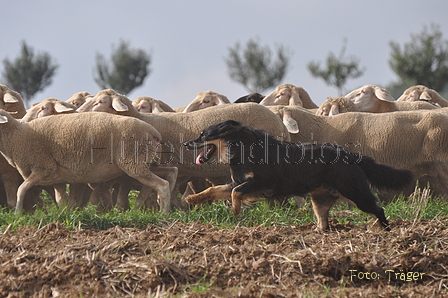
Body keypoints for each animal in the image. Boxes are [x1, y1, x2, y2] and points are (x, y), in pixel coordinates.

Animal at [0, 110, 177, 213]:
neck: (16, 135)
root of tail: (154, 133)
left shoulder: (43, 167)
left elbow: (21, 189)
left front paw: (17, 214)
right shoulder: (54, 176)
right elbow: (61, 199)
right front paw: (64, 214)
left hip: (133, 162)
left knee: (162, 184)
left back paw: (163, 213)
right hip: (144, 162)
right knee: (171, 172)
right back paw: (166, 205)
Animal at [182, 120, 412, 229]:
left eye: (203, 135)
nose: (185, 144)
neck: (242, 147)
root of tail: (350, 155)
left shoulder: (263, 183)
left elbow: (236, 193)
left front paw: (236, 210)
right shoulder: (238, 181)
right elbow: (214, 189)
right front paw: (193, 198)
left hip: (355, 192)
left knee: (378, 210)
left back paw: (384, 232)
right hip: (320, 199)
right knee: (324, 222)